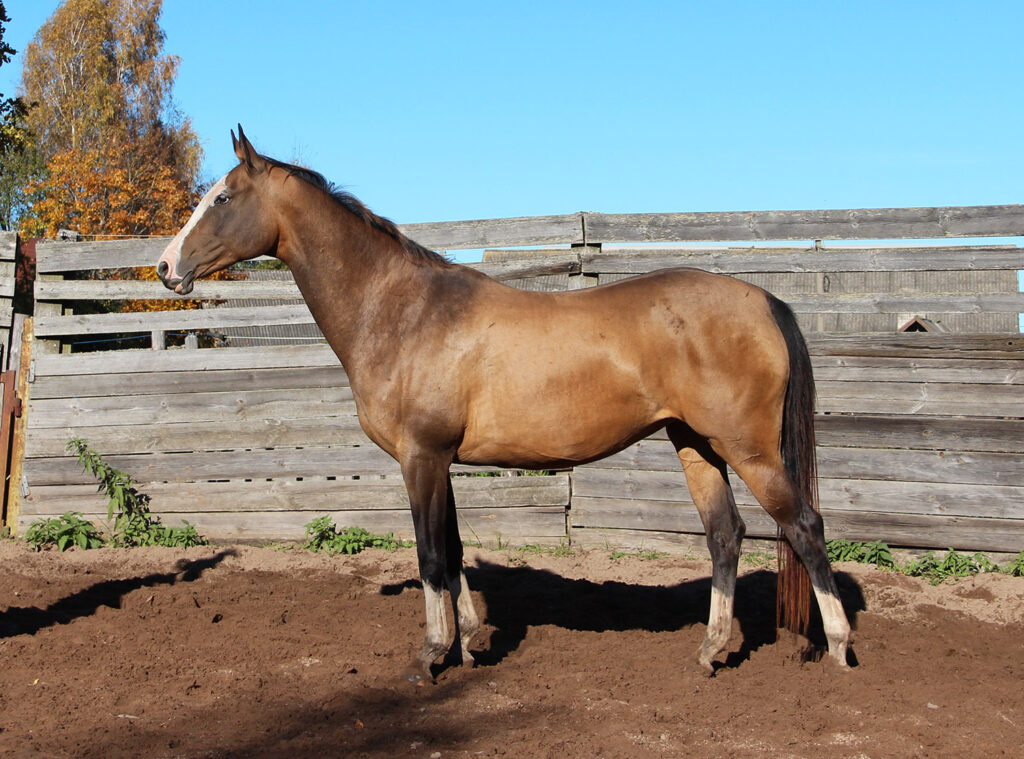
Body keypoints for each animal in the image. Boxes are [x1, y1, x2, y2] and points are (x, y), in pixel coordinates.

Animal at [158, 126, 851, 680]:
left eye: (222, 198)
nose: (165, 267)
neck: (403, 310)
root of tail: (764, 300)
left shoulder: (421, 458)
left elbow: (430, 554)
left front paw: (431, 655)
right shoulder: (439, 461)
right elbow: (454, 551)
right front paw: (469, 643)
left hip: (749, 450)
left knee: (805, 527)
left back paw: (840, 648)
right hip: (696, 445)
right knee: (725, 536)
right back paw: (710, 651)